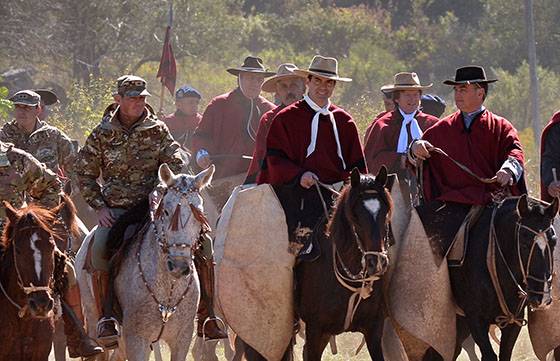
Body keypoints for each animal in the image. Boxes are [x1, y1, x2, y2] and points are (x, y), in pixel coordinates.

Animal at [422, 194, 556, 360]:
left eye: (554, 242)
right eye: (524, 243)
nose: (542, 298)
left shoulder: (513, 321)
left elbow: (505, 353)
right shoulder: (475, 319)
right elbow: (489, 355)